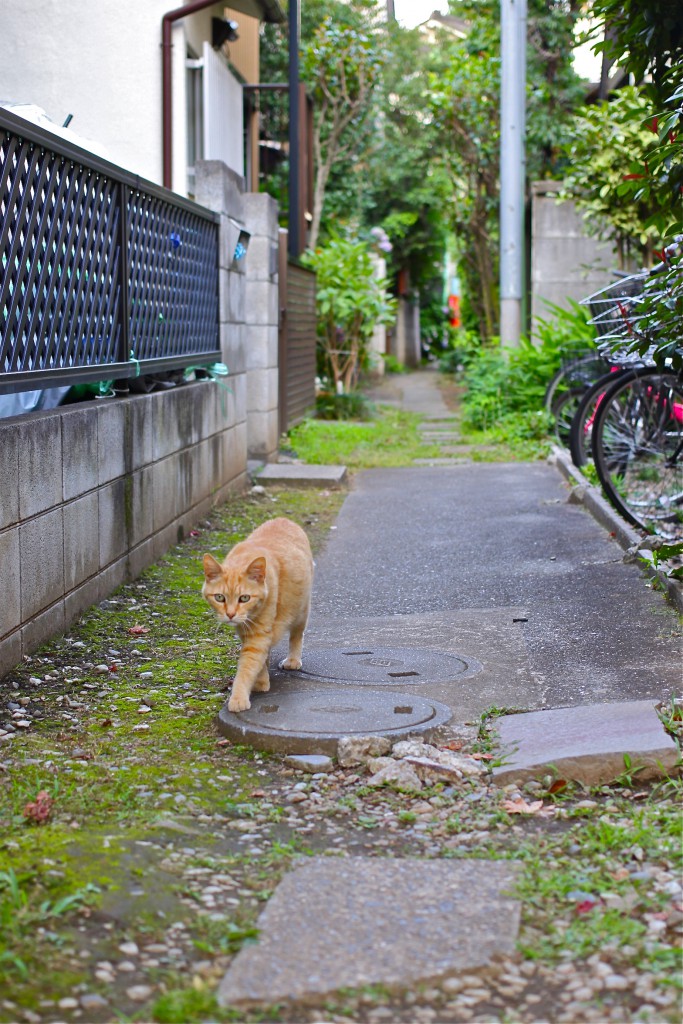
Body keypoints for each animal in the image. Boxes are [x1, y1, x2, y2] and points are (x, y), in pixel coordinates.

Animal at [200, 520, 313, 712]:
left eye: (244, 598)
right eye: (219, 597)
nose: (230, 614)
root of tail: (283, 519)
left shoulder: (258, 636)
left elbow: (248, 665)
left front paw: (239, 697)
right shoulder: (246, 632)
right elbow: (257, 660)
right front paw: (261, 680)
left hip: (301, 612)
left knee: (297, 636)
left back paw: (293, 659)